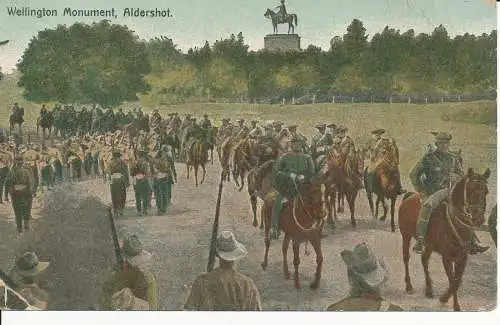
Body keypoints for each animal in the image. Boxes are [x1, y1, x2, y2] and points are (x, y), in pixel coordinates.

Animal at [400, 168, 490, 310]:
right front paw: (455, 305)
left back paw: (429, 290)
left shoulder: (463, 257)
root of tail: (409, 196)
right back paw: (409, 287)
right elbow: (452, 280)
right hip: (406, 236)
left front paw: (444, 298)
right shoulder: (446, 257)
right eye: (470, 190)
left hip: (429, 245)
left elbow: (457, 281)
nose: (478, 219)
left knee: (424, 260)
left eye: (486, 191)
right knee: (406, 258)